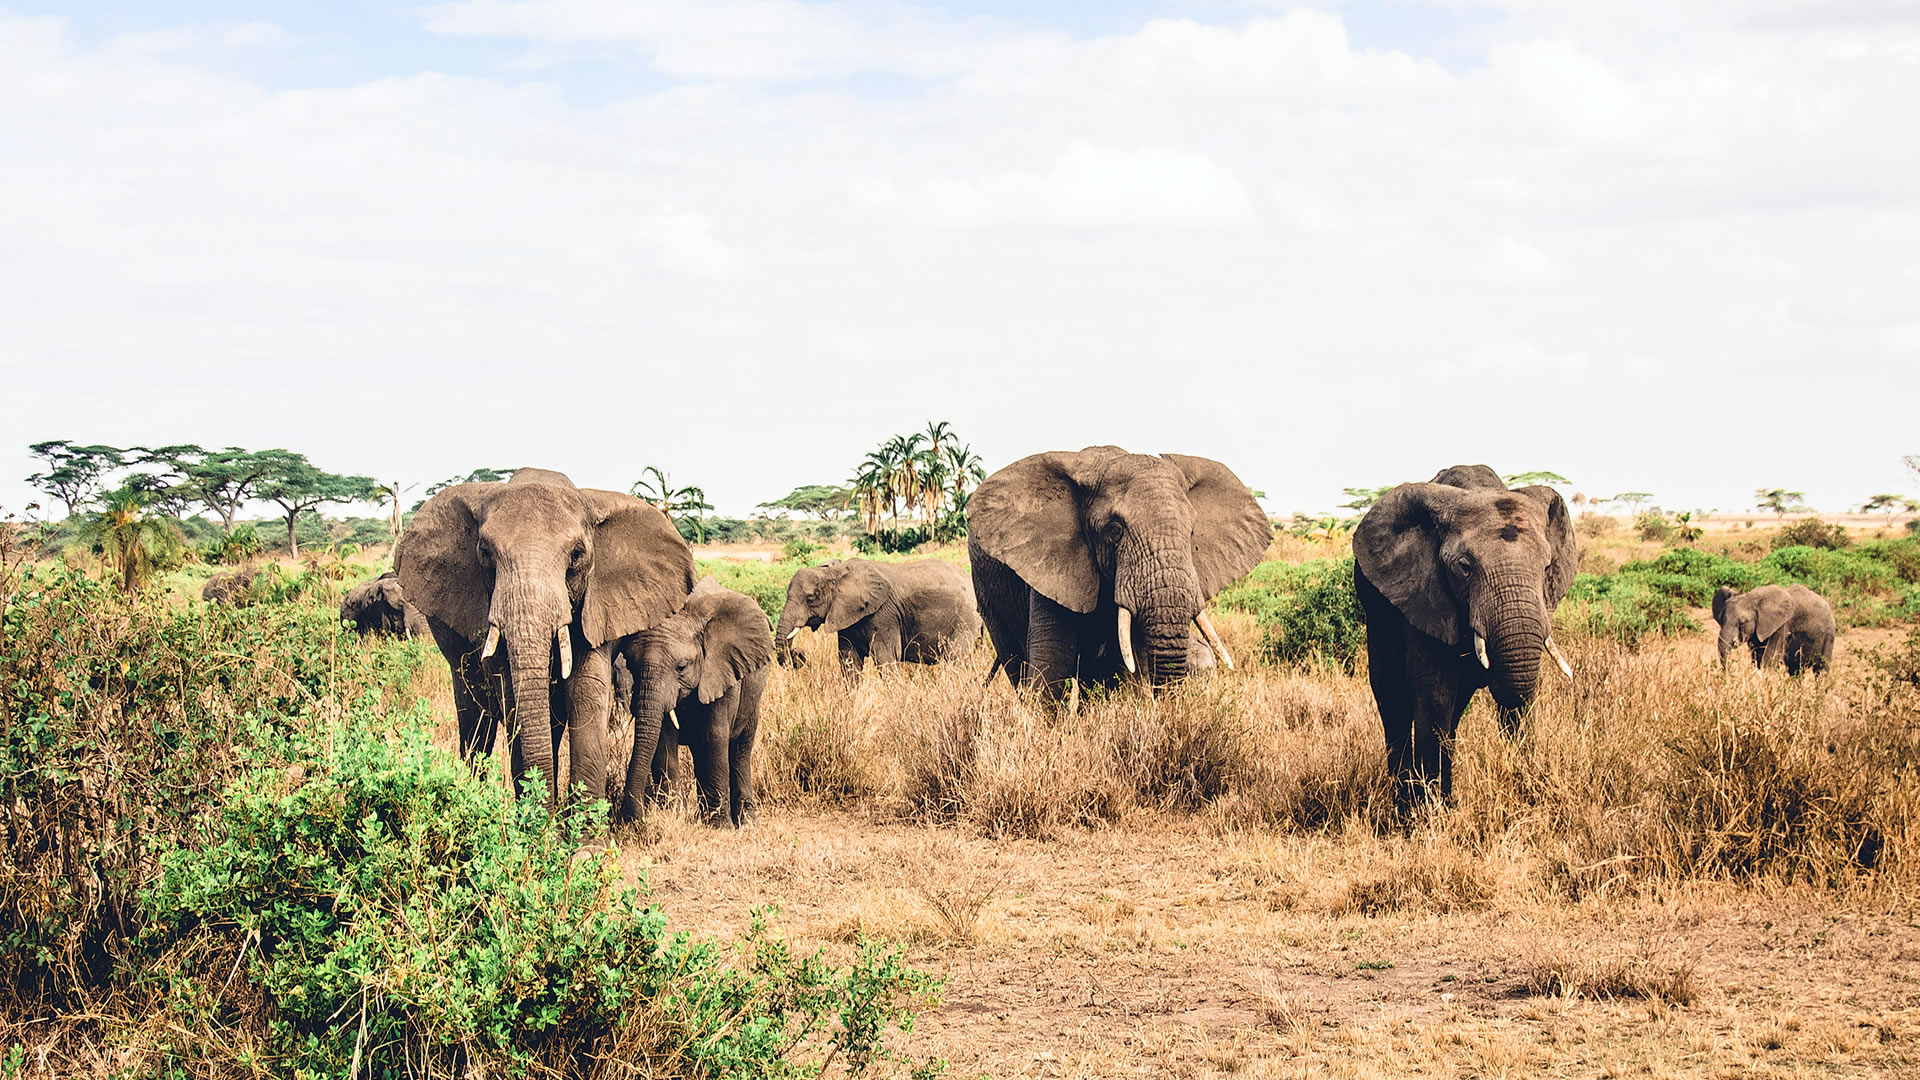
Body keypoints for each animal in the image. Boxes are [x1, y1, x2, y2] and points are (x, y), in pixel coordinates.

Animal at [395, 468, 695, 806]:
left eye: (577, 555)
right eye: (485, 553)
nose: (545, 808)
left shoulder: (598, 604)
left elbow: (586, 690)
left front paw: (584, 822)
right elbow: (512, 697)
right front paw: (537, 816)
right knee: (476, 720)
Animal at [618, 576, 774, 826]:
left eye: (681, 667)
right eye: (631, 666)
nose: (636, 819)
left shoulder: (721, 670)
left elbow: (713, 735)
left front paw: (721, 827)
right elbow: (664, 739)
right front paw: (674, 815)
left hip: (753, 696)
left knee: (740, 750)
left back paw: (746, 823)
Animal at [773, 558, 981, 675]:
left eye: (810, 598)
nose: (799, 654)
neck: (835, 572)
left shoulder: (884, 616)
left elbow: (886, 658)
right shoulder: (846, 615)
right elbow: (849, 661)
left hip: (965, 617)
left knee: (955, 658)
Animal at [1352, 465, 1577, 808]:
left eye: (1547, 566)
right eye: (1464, 567)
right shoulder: (1424, 592)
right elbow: (1436, 695)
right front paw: (1430, 813)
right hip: (1376, 612)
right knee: (1393, 700)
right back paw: (1403, 802)